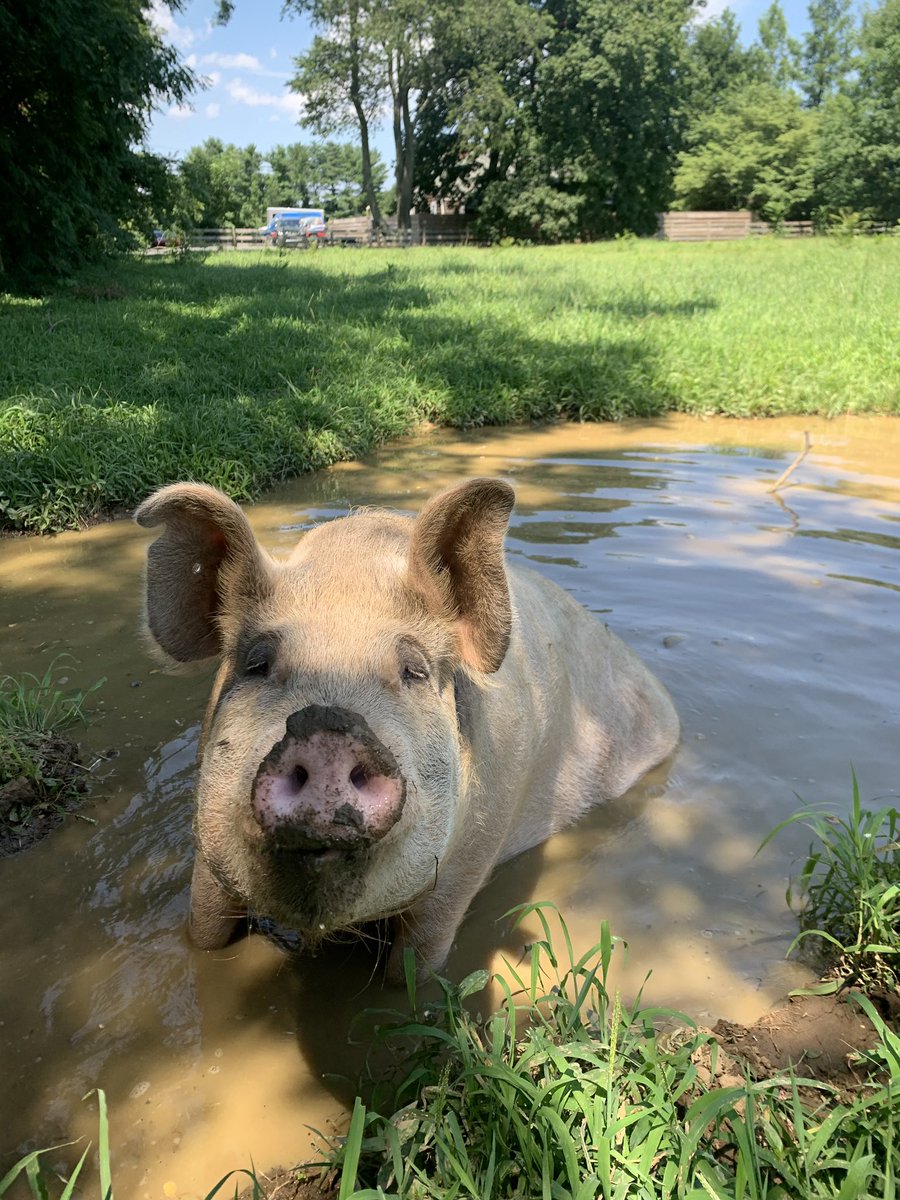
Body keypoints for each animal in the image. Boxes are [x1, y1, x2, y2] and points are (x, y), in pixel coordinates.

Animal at [136, 478, 678, 978]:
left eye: (413, 670)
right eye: (257, 662)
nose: (326, 725)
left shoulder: (470, 858)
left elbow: (415, 969)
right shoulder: (206, 850)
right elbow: (204, 932)